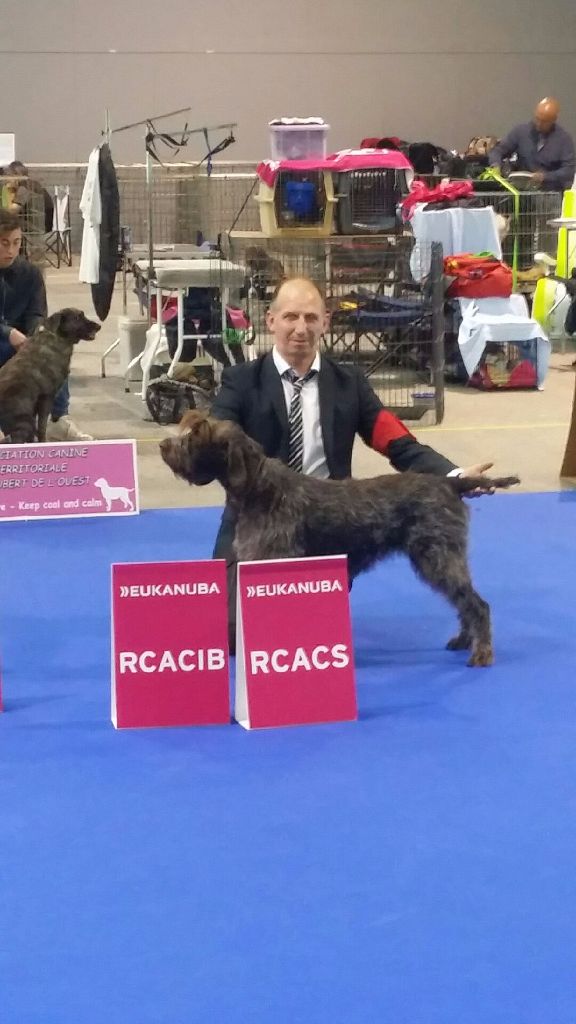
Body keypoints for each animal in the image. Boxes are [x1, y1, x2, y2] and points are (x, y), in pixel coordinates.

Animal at [0, 307, 99, 444]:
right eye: (78, 318)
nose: (99, 326)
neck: (58, 338)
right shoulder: (46, 398)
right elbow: (42, 428)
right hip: (25, 422)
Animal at [158, 411, 518, 667]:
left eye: (197, 435)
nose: (164, 446)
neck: (259, 489)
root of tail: (450, 483)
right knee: (464, 602)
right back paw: (464, 640)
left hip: (438, 556)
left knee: (476, 604)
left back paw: (481, 652)